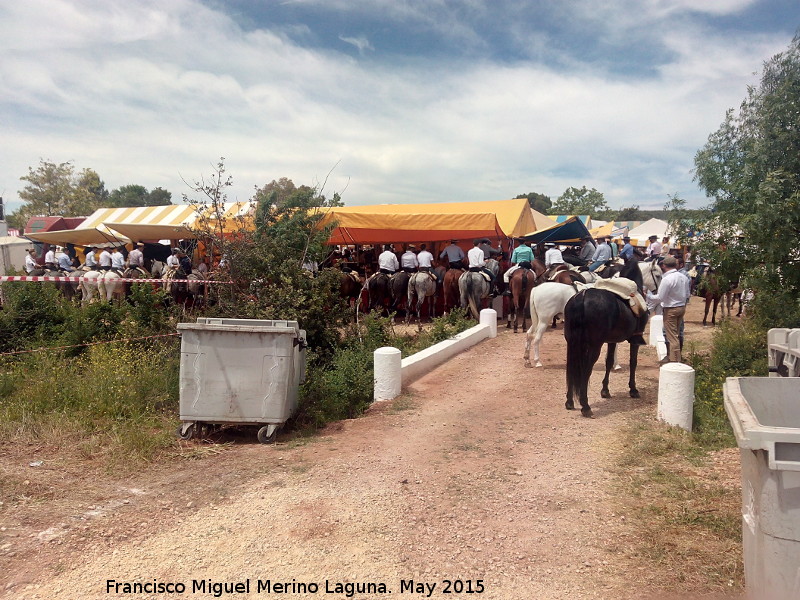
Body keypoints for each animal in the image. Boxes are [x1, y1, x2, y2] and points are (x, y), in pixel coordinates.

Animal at [560, 258, 648, 418]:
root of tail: (582, 296)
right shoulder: (635, 340)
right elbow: (633, 362)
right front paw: (633, 389)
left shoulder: (611, 341)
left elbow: (609, 362)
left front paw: (605, 391)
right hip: (594, 346)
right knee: (586, 369)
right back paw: (585, 405)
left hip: (572, 344)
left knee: (571, 368)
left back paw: (570, 402)